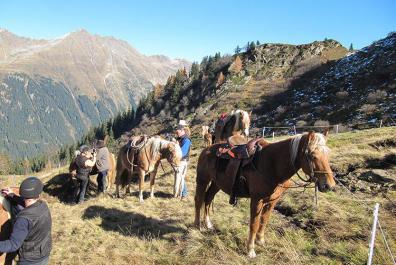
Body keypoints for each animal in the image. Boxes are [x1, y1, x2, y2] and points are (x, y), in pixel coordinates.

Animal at [193, 131, 336, 256]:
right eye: (312, 155)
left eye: (328, 154)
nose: (329, 186)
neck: (273, 164)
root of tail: (207, 149)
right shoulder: (257, 200)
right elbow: (254, 224)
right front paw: (250, 250)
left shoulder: (273, 200)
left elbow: (264, 220)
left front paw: (260, 241)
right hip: (202, 180)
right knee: (199, 200)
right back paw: (197, 225)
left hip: (217, 183)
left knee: (208, 199)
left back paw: (208, 224)